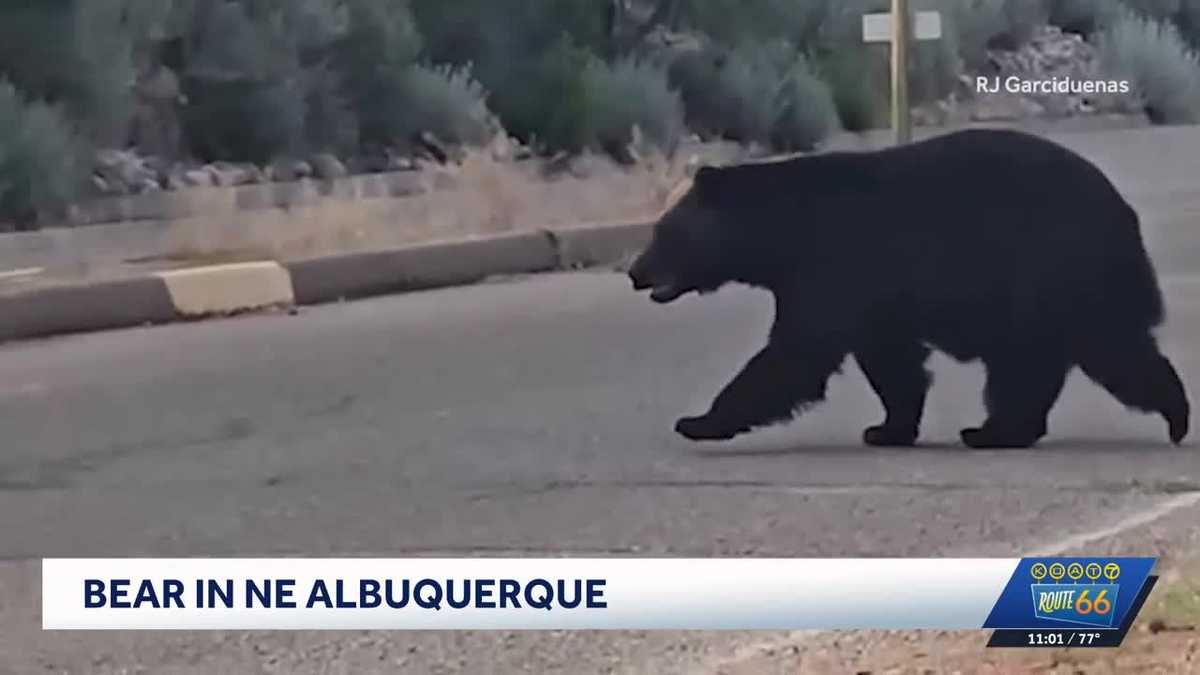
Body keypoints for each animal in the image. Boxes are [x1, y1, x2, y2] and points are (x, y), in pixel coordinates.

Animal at [628, 128, 1190, 449]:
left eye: (662, 234)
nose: (635, 271)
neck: (785, 231)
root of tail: (1123, 212)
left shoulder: (832, 267)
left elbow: (795, 354)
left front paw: (698, 421)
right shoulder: (871, 294)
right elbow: (890, 360)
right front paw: (888, 428)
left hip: (1050, 267)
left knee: (1070, 353)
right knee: (1087, 351)